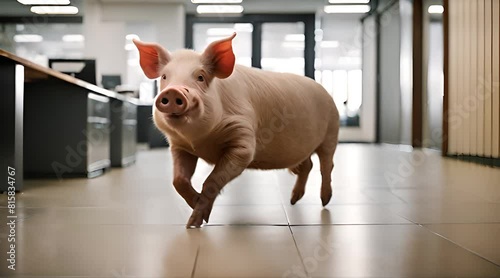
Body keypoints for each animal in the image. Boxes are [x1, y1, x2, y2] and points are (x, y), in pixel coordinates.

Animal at [133, 33, 340, 228]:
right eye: (164, 77)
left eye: (200, 77)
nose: (173, 91)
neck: (201, 141)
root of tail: (326, 92)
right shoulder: (180, 147)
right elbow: (178, 180)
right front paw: (194, 214)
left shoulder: (243, 141)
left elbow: (212, 181)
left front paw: (196, 222)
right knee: (307, 165)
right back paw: (293, 200)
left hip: (331, 132)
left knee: (327, 165)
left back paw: (324, 200)